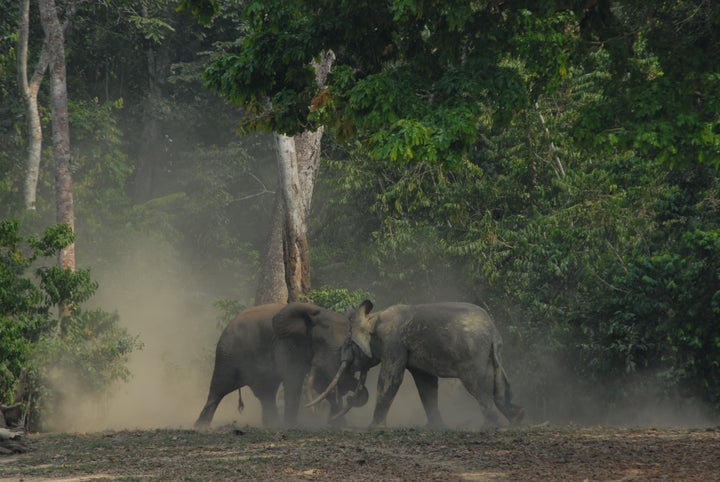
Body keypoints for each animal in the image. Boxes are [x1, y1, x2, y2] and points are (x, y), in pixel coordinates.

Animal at [193, 302, 366, 430]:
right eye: (320, 341)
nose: (352, 396)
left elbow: (322, 383)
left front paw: (339, 424)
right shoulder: (287, 343)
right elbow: (294, 380)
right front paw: (292, 425)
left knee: (266, 392)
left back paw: (272, 424)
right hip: (228, 354)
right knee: (219, 387)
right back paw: (201, 426)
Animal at [310, 300, 524, 428]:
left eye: (348, 343)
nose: (349, 398)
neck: (374, 316)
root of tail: (492, 330)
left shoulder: (393, 343)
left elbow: (391, 379)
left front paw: (373, 428)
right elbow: (425, 383)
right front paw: (435, 428)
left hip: (473, 355)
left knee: (478, 387)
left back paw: (489, 427)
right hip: (492, 354)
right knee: (499, 388)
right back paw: (517, 420)